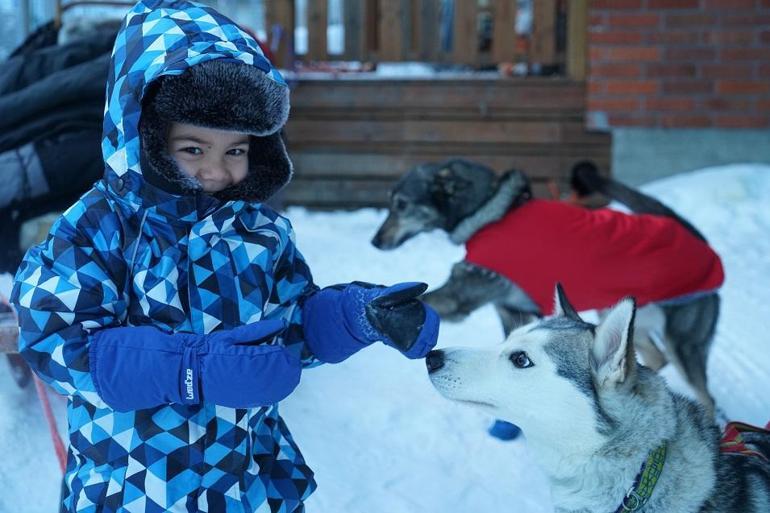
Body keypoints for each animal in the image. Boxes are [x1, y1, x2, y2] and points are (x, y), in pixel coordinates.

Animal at [372, 160, 720, 412]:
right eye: (390, 204)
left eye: (401, 205)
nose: (375, 242)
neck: (488, 212)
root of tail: (699, 240)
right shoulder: (511, 312)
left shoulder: (460, 297)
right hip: (627, 315)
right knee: (654, 357)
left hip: (683, 344)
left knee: (705, 395)